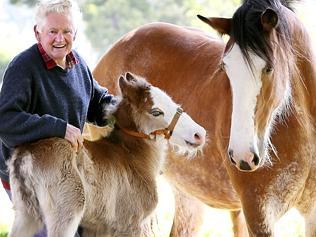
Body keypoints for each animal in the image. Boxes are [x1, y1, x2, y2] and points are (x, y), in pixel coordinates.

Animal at [8, 72, 205, 237]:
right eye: (156, 111)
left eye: (172, 101)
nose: (199, 134)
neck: (133, 156)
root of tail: (26, 154)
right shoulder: (131, 224)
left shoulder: (97, 227)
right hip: (67, 212)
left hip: (26, 214)